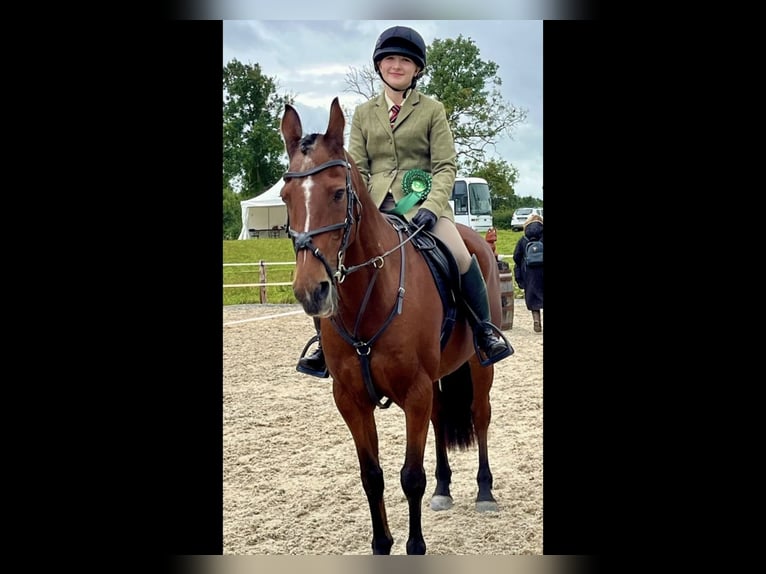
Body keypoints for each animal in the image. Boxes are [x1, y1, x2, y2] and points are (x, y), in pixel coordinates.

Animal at [279, 97, 509, 555]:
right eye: (285, 196)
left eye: (337, 193)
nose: (311, 291)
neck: (369, 299)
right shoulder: (350, 399)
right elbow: (373, 477)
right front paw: (381, 543)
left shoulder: (414, 392)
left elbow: (410, 477)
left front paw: (415, 546)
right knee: (441, 417)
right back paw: (444, 488)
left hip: (478, 367)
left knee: (480, 416)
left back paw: (484, 492)